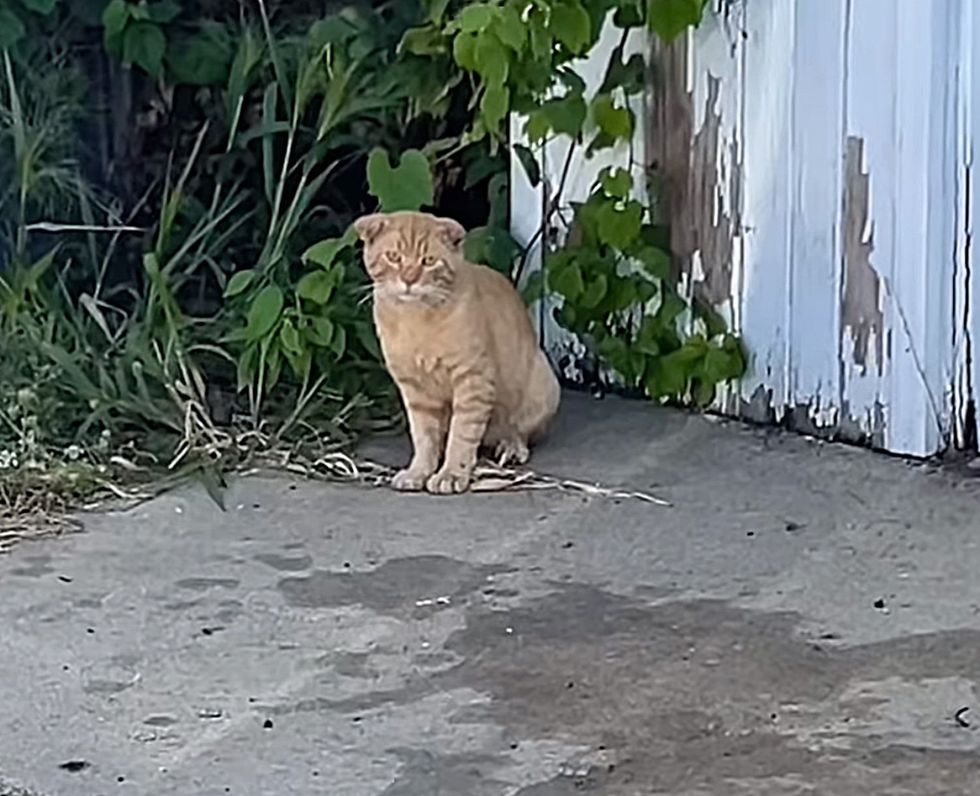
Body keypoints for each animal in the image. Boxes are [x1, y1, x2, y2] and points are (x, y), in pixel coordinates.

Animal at [354, 213, 560, 498]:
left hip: (544, 384)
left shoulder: (473, 381)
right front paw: (419, 471)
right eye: (394, 257)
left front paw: (451, 474)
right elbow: (424, 437)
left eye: (428, 261)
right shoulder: (415, 390)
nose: (409, 279)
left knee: (521, 430)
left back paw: (511, 446)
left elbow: (462, 435)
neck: (415, 320)